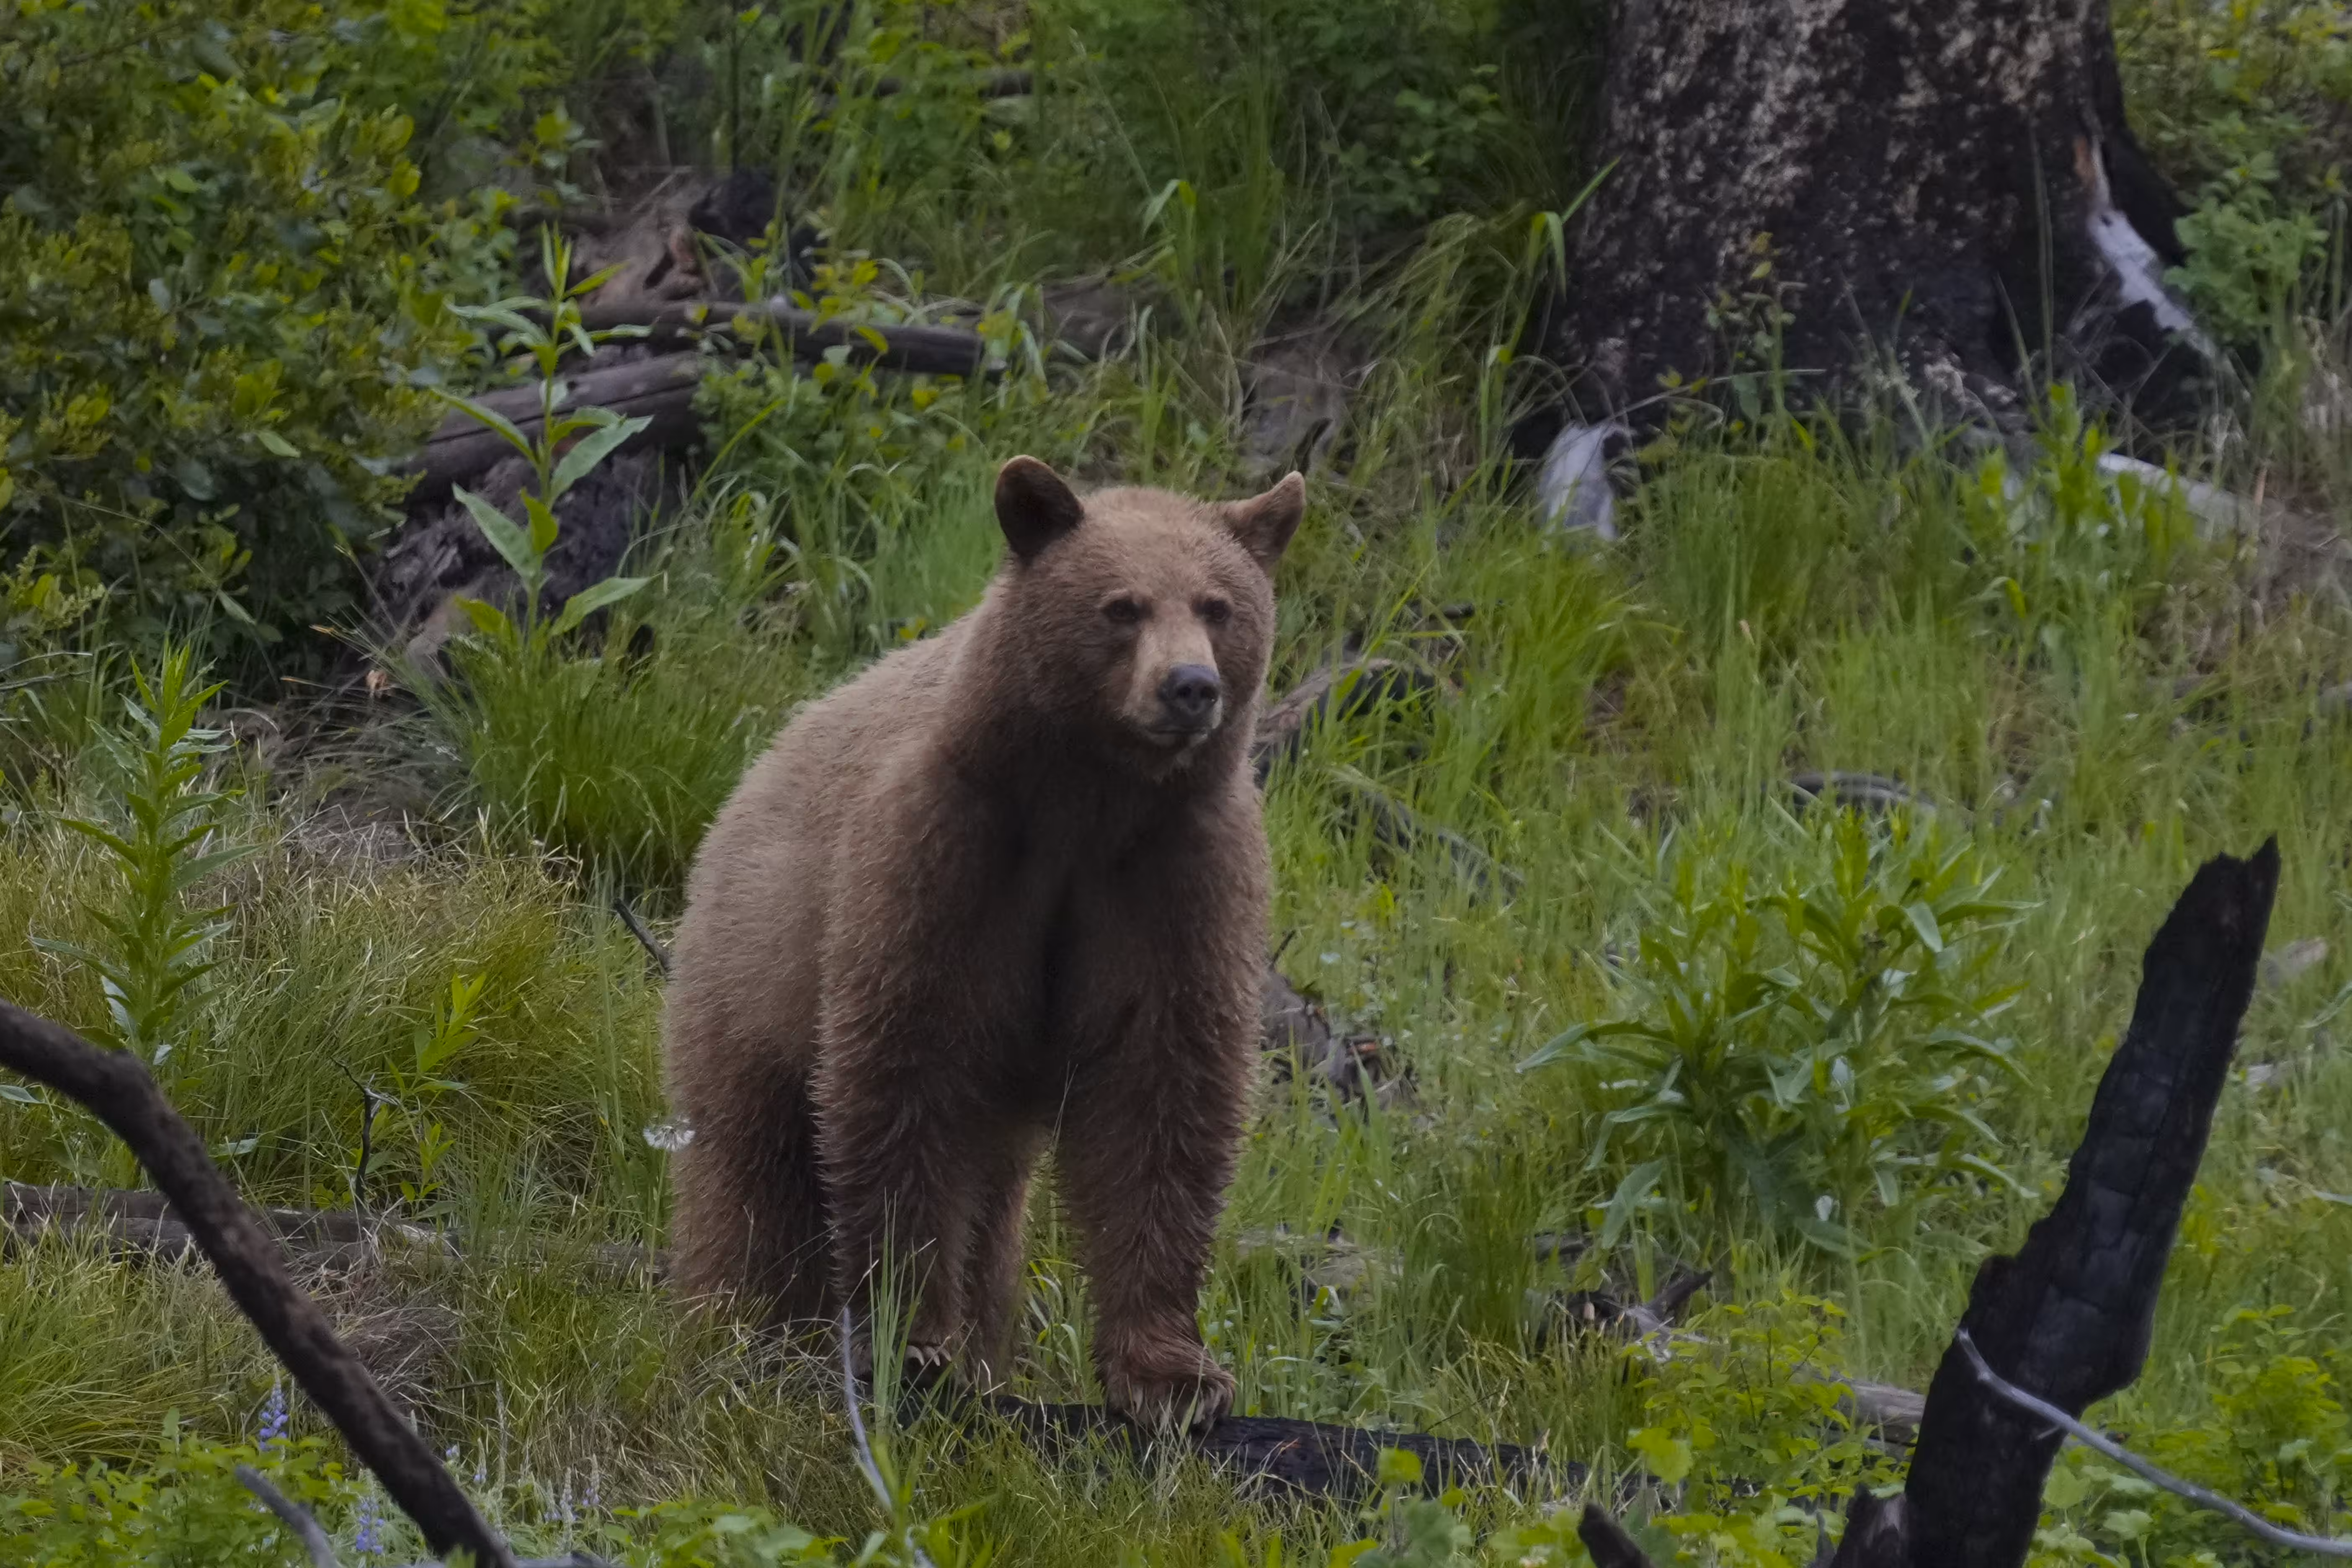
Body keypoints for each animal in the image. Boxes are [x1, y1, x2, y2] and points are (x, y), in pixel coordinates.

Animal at [662, 455, 1305, 1427]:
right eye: (1121, 607)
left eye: (1219, 605)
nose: (1190, 687)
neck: (1087, 797)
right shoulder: (946, 852)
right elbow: (905, 1066)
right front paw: (914, 1338)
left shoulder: (1173, 874)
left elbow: (1163, 1088)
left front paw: (1174, 1373)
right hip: (749, 974)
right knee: (752, 1168)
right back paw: (733, 1314)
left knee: (995, 1214)